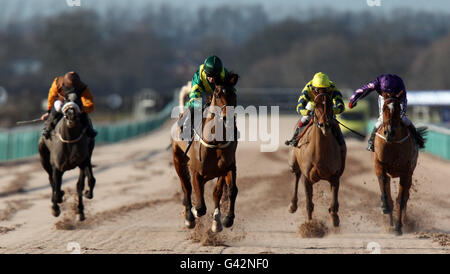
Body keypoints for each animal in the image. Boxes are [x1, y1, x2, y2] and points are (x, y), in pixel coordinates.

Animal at [171, 73, 239, 233]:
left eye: (234, 94)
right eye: (217, 94)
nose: (227, 117)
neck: (215, 142)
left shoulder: (227, 168)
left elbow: (226, 191)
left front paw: (224, 220)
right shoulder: (195, 171)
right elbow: (200, 207)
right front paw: (193, 213)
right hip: (178, 161)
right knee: (186, 188)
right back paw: (189, 217)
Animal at [288, 90, 348, 227]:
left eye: (330, 103)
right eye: (316, 104)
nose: (324, 124)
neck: (320, 154)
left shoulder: (335, 176)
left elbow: (334, 201)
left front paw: (334, 218)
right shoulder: (307, 178)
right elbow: (309, 204)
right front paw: (310, 225)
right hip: (294, 163)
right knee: (296, 175)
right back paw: (292, 205)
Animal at [370, 90, 424, 235]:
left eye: (399, 109)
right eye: (384, 108)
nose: (389, 132)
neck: (392, 144)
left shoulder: (406, 172)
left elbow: (401, 200)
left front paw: (399, 227)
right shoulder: (380, 165)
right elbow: (386, 194)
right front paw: (385, 207)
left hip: (410, 175)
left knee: (405, 197)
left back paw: (402, 222)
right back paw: (390, 222)